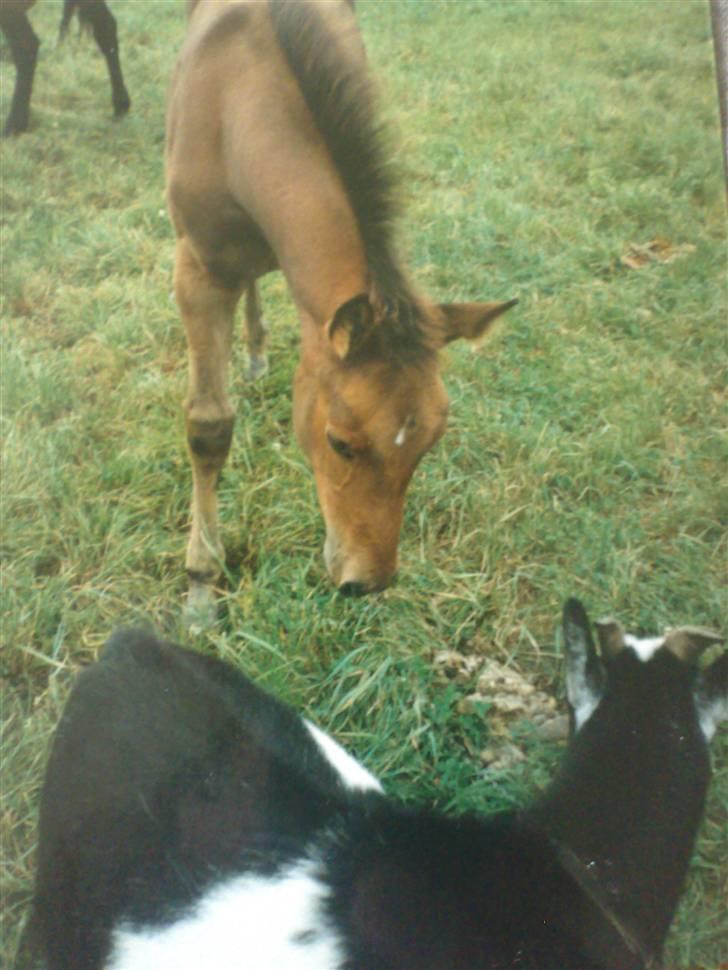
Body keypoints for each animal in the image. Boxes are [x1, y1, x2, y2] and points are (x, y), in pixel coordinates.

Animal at [167, 0, 516, 608]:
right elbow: (209, 427)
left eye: (430, 443)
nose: (366, 582)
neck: (236, 112)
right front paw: (202, 583)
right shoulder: (197, 271)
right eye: (339, 443)